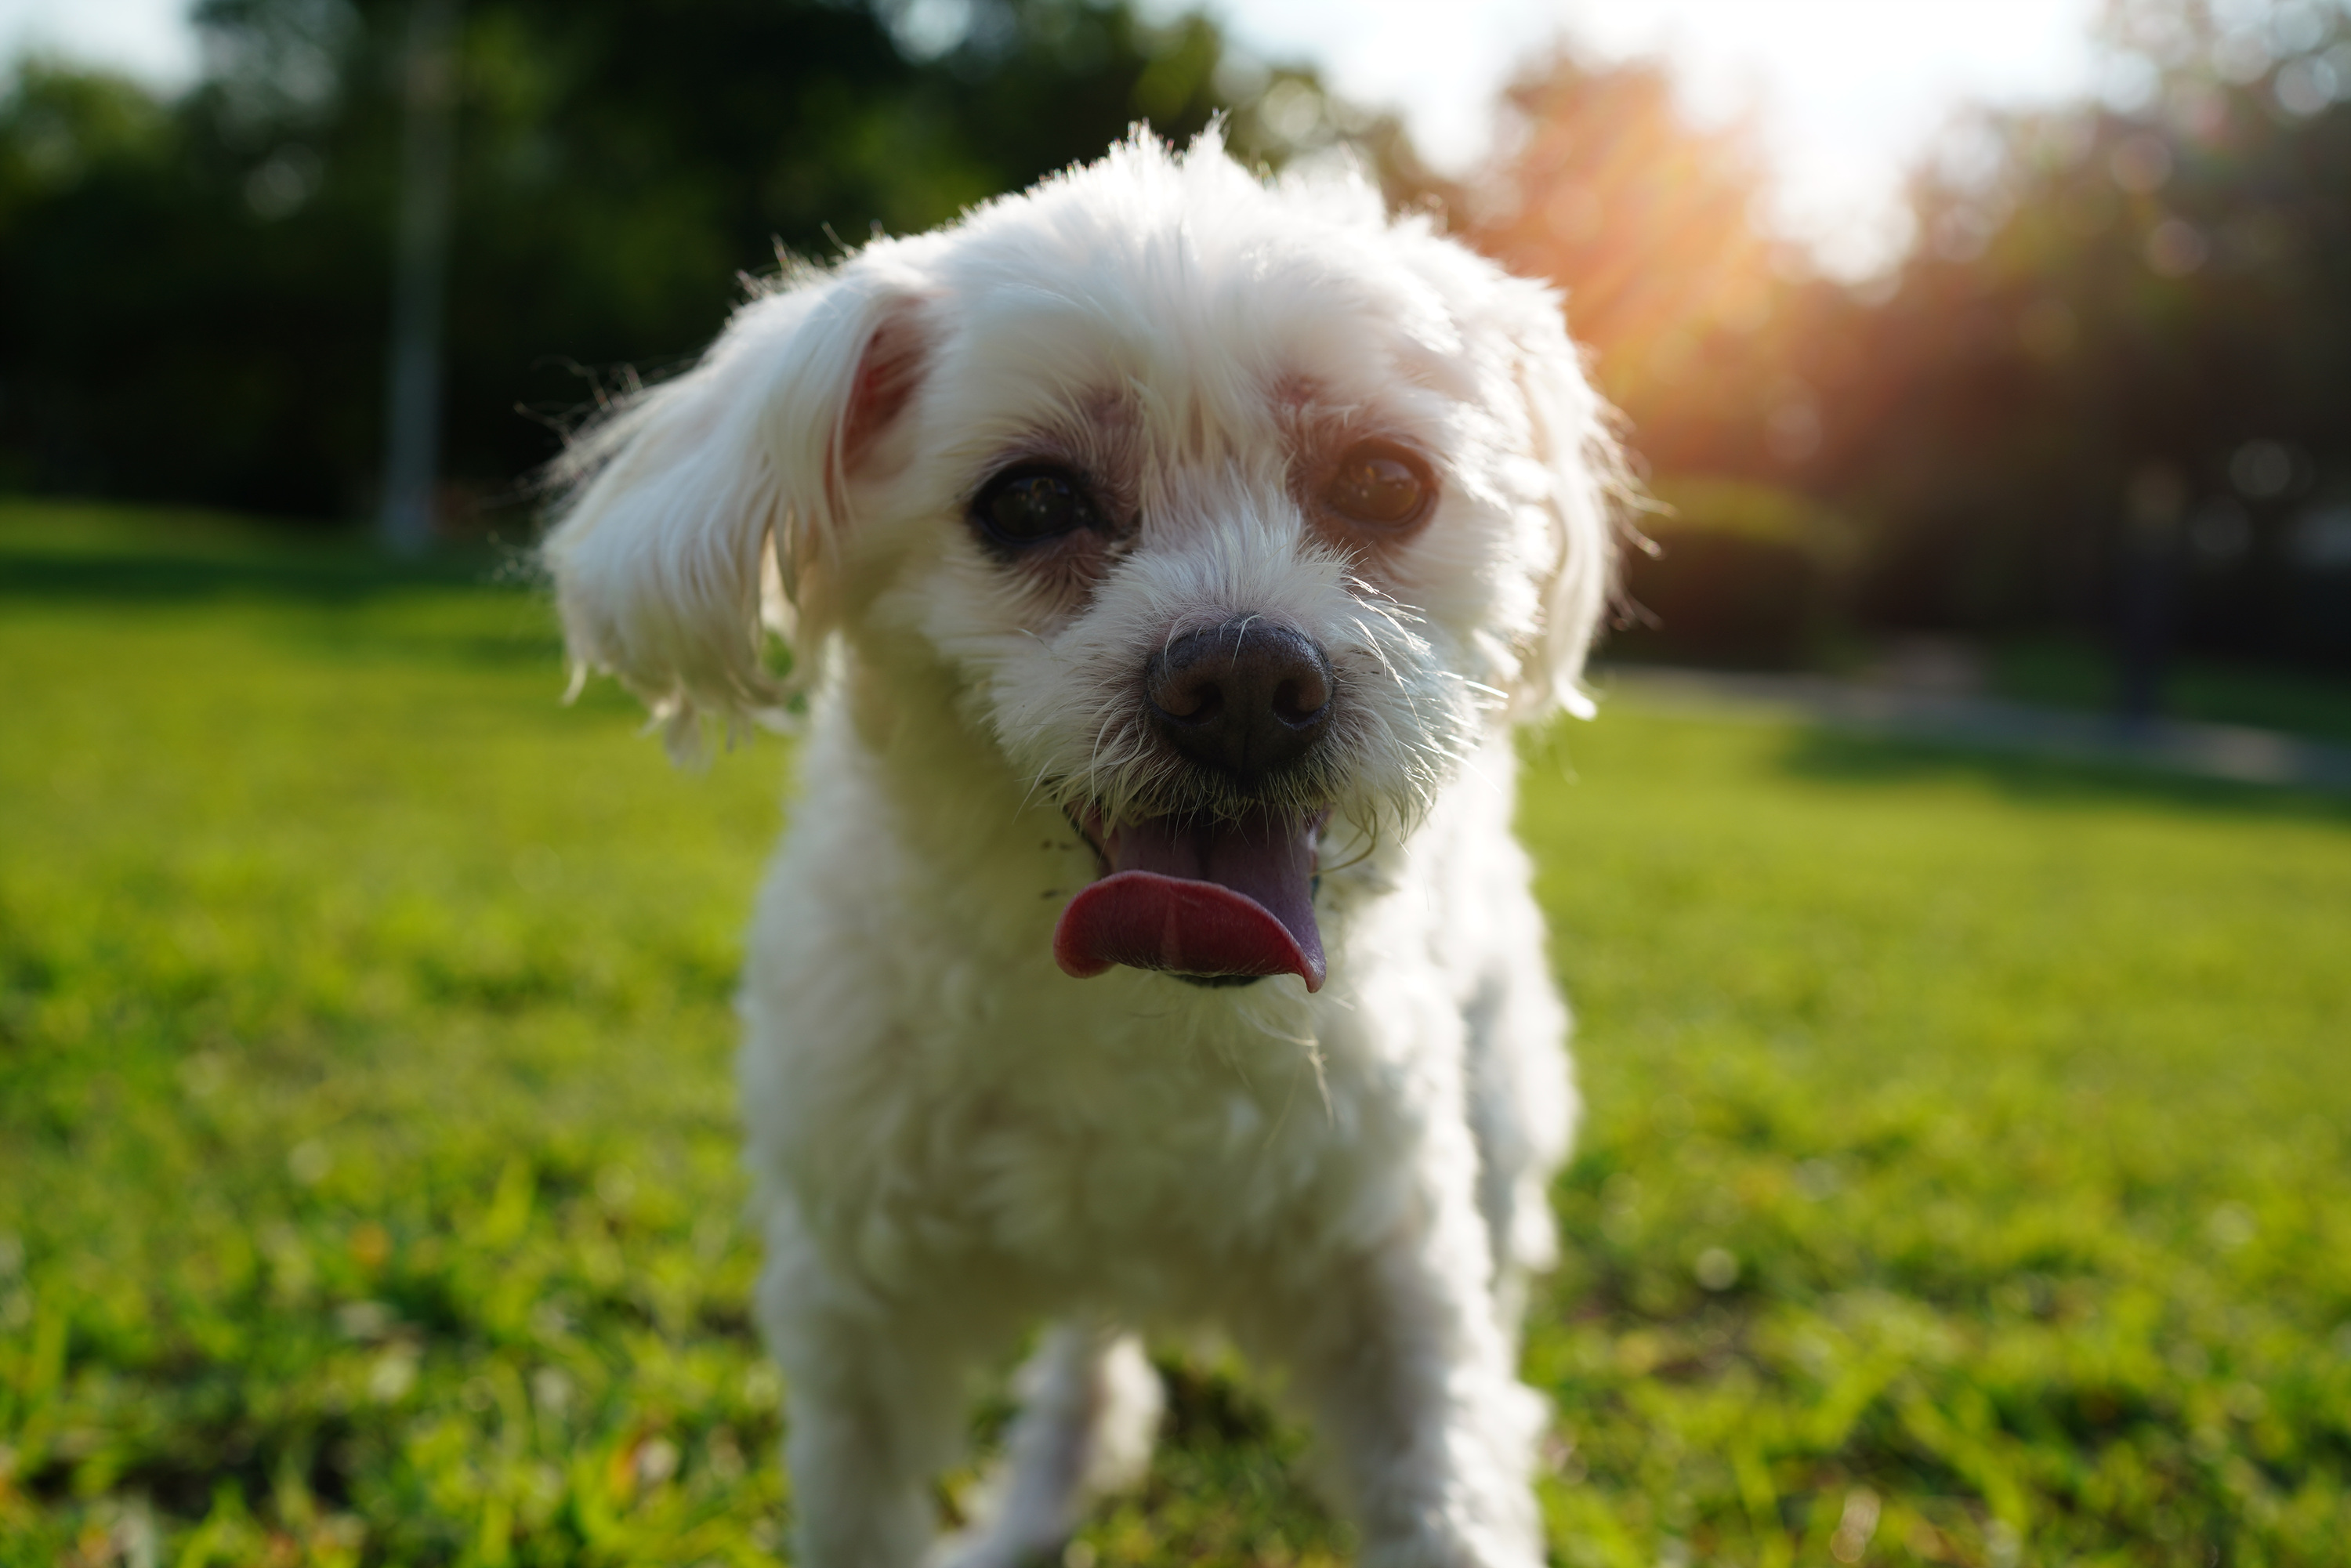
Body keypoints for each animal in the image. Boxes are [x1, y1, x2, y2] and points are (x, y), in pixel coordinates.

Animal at [545, 129, 1617, 1561]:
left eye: (1388, 483)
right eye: (1032, 500)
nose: (1245, 680)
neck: (1145, 1015)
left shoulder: (1394, 1280)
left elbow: (1449, 1487)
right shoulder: (860, 1312)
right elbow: (861, 1504)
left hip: (1500, 1123)